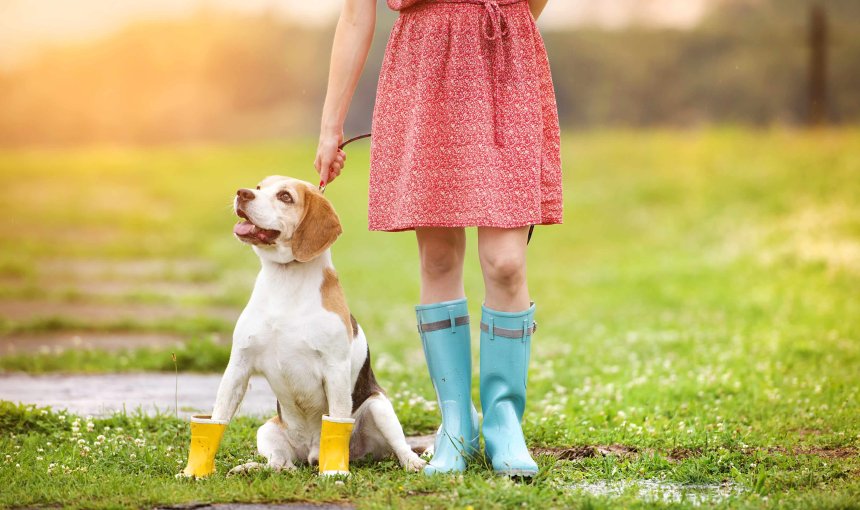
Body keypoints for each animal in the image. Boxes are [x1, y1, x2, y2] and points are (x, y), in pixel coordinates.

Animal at [208, 176, 424, 474]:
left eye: (285, 197)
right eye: (259, 187)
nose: (242, 193)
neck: (285, 281)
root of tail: (309, 453)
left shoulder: (335, 368)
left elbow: (338, 420)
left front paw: (335, 472)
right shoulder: (239, 365)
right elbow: (218, 418)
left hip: (379, 408)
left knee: (401, 447)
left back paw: (414, 463)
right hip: (267, 430)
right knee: (281, 464)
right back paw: (254, 467)